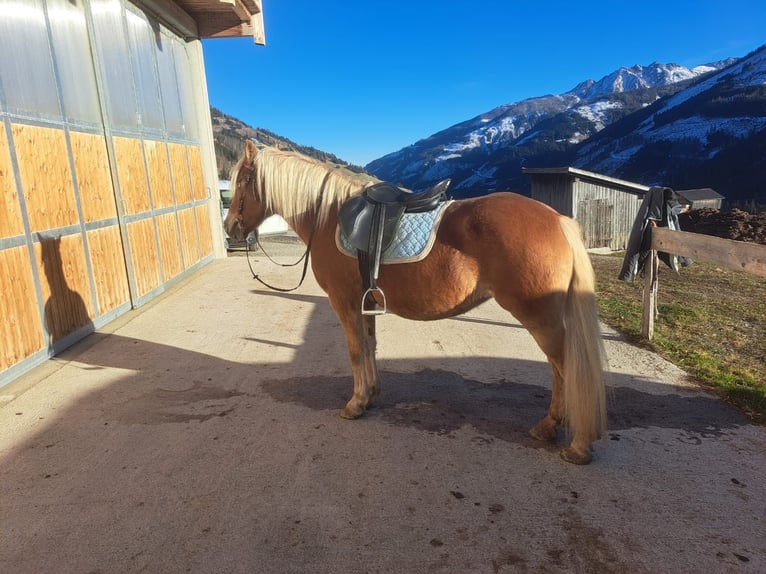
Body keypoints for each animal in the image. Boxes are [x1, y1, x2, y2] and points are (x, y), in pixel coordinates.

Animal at [225, 141, 608, 468]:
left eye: (243, 181)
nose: (230, 228)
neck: (328, 216)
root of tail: (558, 219)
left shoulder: (344, 301)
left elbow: (355, 351)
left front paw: (355, 404)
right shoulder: (365, 302)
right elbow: (370, 346)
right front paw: (371, 394)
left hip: (539, 316)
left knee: (566, 367)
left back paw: (576, 444)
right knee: (559, 368)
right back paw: (549, 427)